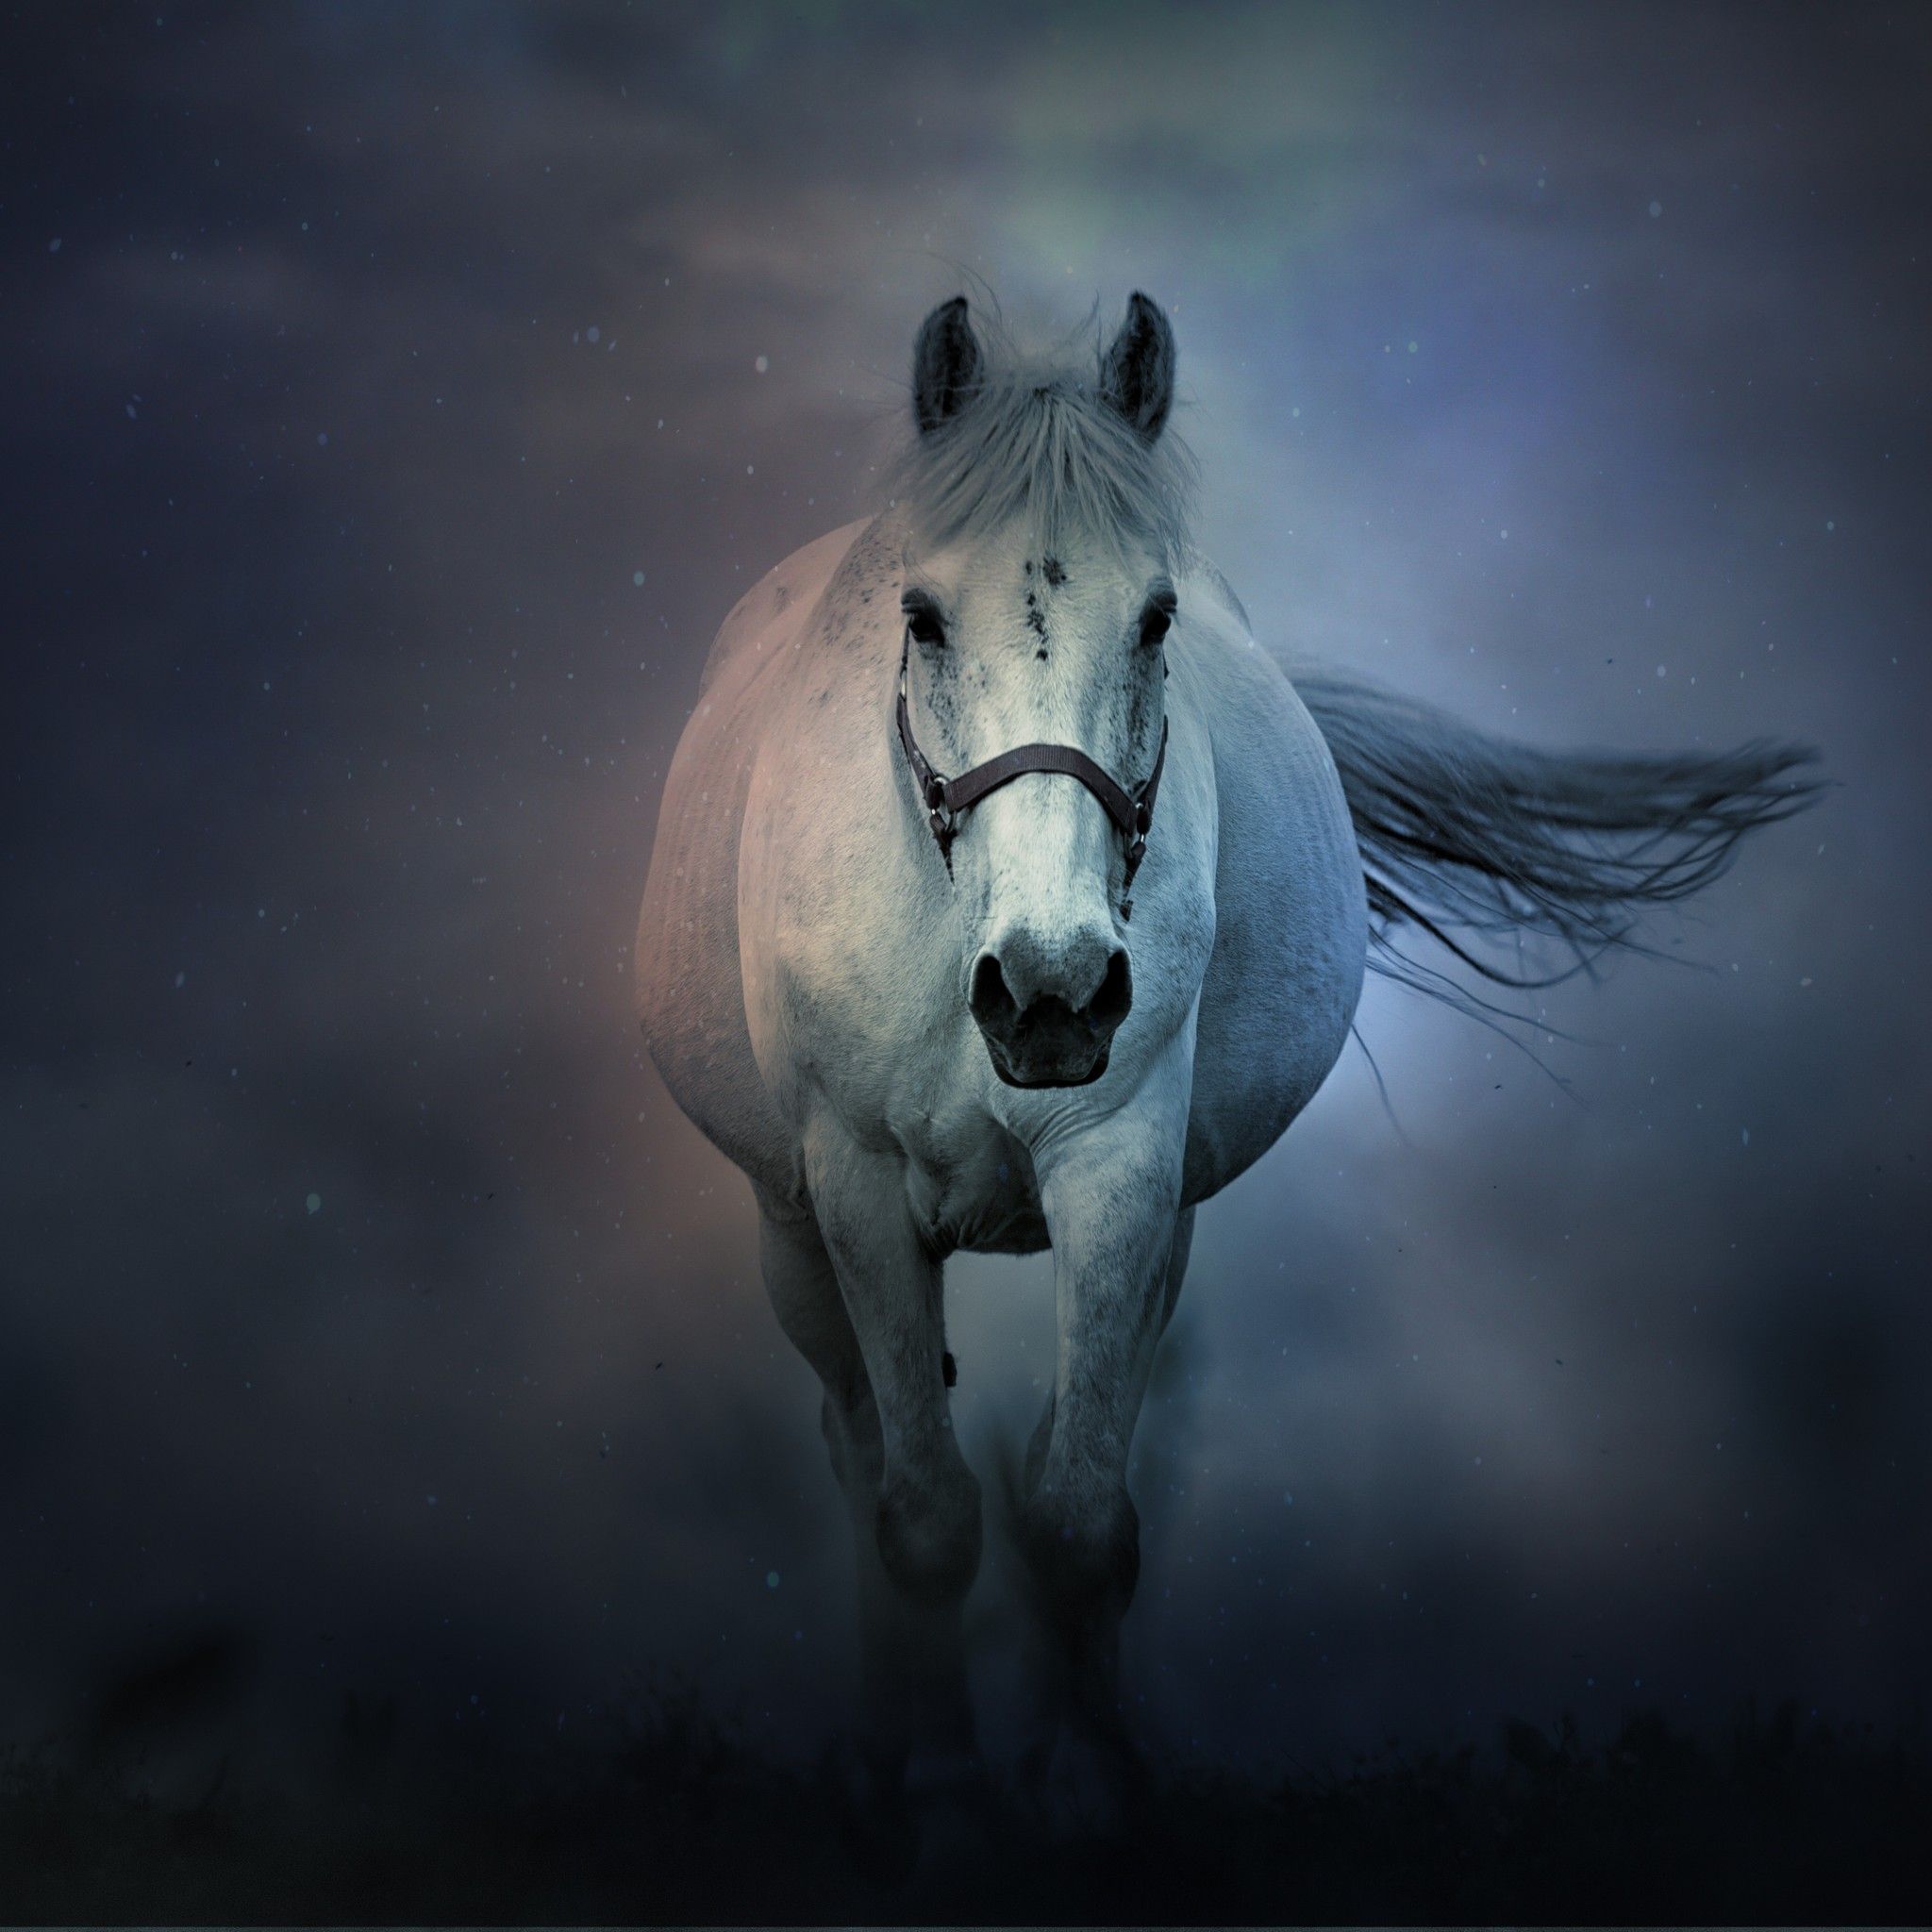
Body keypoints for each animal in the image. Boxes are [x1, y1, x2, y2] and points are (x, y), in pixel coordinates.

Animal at [634, 291, 1817, 1825]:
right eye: (921, 616)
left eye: (1156, 618)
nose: (1051, 992)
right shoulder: (858, 1191)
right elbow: (927, 1516)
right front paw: (944, 1789)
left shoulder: (1125, 1170)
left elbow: (1079, 1516)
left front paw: (1091, 1784)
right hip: (790, 1234)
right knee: (859, 1453)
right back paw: (888, 1750)